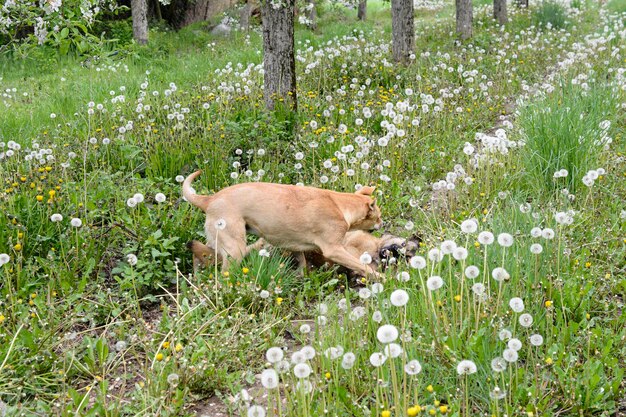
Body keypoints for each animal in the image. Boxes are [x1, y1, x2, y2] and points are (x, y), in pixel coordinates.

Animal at [180, 171, 380, 274]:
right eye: (378, 216)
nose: (382, 223)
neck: (340, 205)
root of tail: (208, 200)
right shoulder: (334, 250)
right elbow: (362, 266)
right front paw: (380, 279)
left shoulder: (295, 245)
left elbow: (302, 263)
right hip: (234, 249)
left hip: (218, 243)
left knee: (201, 255)